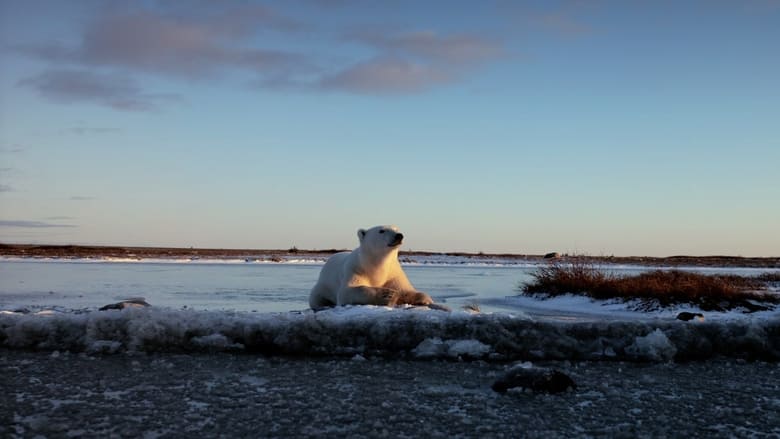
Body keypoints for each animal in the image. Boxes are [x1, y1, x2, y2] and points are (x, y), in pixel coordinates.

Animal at [308, 225, 436, 312]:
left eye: (396, 228)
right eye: (382, 230)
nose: (399, 235)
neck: (375, 266)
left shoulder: (393, 274)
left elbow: (406, 290)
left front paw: (424, 299)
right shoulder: (355, 269)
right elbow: (347, 291)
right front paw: (387, 295)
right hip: (323, 285)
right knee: (316, 298)